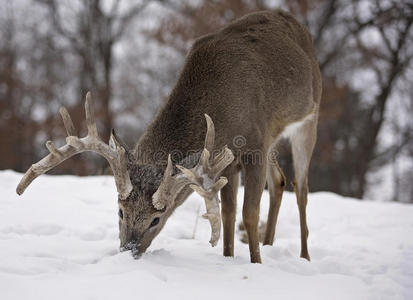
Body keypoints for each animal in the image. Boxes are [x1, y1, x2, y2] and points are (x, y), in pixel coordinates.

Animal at [16, 9, 320, 262]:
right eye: (120, 211)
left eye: (156, 219)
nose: (128, 252)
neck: (222, 105)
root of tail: (297, 24)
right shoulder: (225, 162)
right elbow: (228, 213)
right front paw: (228, 258)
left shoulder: (255, 144)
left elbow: (249, 213)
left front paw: (255, 263)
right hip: (274, 140)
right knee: (279, 182)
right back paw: (270, 245)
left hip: (309, 119)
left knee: (301, 188)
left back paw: (304, 256)